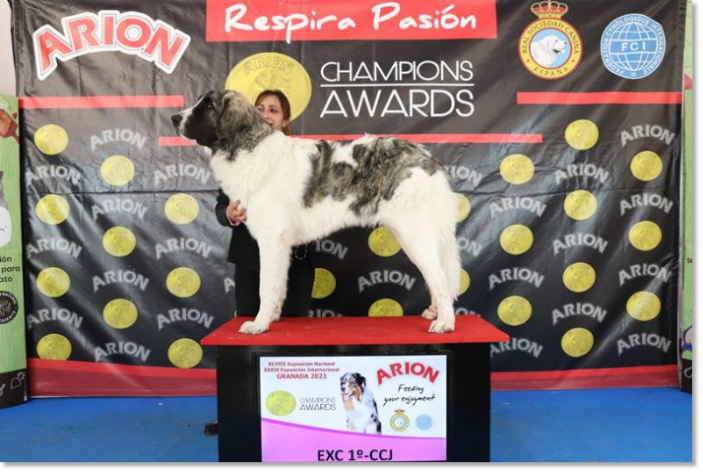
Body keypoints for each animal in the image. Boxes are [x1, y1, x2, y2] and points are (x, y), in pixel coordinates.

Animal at [173, 90, 462, 334]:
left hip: (414, 233)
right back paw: (435, 312)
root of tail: (427, 157)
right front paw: (272, 318)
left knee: (438, 276)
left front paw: (259, 324)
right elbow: (278, 286)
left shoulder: (271, 240)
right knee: (434, 274)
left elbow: (266, 286)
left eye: (208, 106)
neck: (246, 146)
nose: (174, 118)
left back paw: (445, 322)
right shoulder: (281, 246)